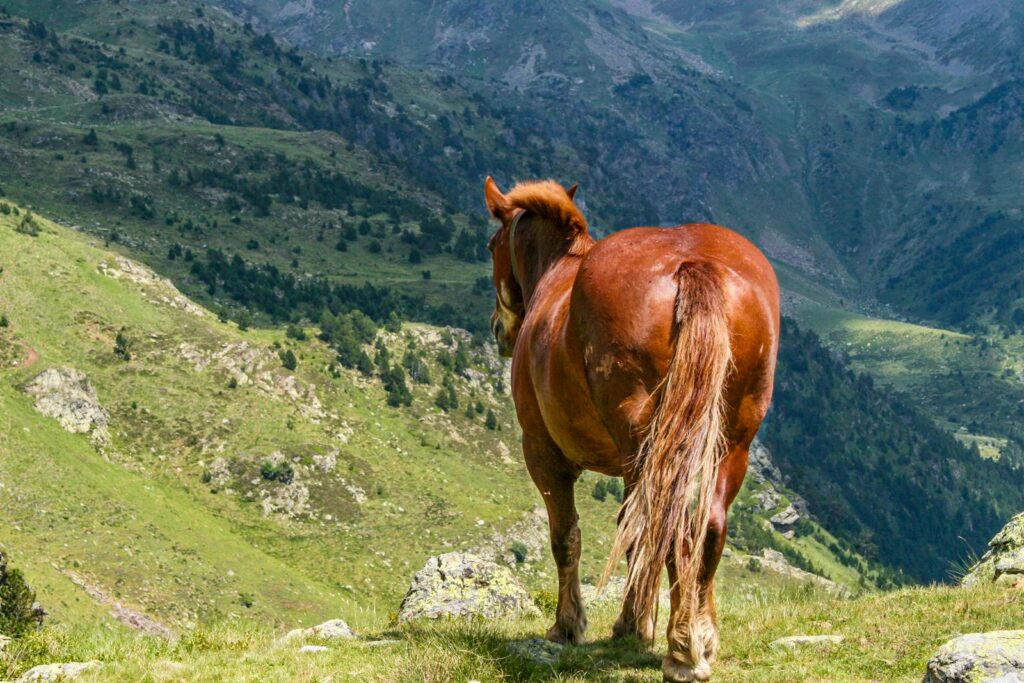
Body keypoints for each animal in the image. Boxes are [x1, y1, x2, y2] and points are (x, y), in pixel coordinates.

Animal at [484, 177, 779, 682]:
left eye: (491, 246)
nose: (499, 331)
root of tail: (693, 264)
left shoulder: (543, 454)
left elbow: (568, 537)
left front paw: (570, 625)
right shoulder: (630, 464)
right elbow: (632, 533)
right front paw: (639, 624)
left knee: (671, 525)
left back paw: (681, 650)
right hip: (728, 443)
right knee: (706, 526)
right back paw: (699, 637)